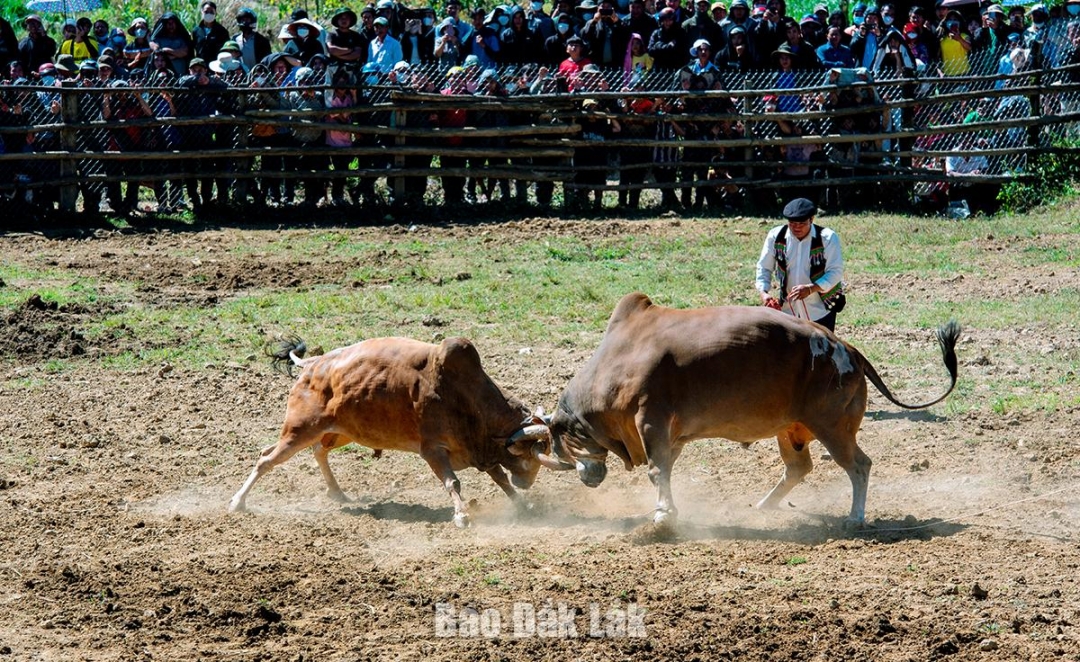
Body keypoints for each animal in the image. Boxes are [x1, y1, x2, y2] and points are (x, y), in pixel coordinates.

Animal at [225, 334, 548, 527]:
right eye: (529, 455)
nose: (527, 482)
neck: (464, 394)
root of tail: (312, 365)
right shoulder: (432, 450)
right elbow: (453, 482)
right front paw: (462, 515)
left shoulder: (480, 450)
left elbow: (499, 478)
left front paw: (523, 505)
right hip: (299, 430)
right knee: (266, 458)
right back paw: (238, 502)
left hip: (339, 432)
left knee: (317, 450)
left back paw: (337, 493)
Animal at [544, 293, 959, 527]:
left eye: (563, 443)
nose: (587, 477)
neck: (621, 359)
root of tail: (848, 349)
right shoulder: (672, 435)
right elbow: (666, 471)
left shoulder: (652, 420)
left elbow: (657, 470)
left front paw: (662, 516)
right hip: (792, 429)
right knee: (799, 468)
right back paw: (764, 505)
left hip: (832, 426)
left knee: (858, 465)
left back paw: (855, 517)